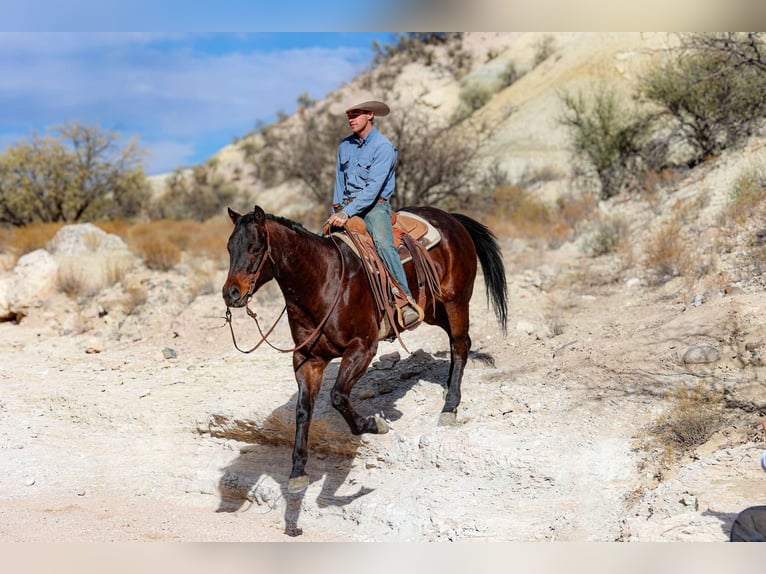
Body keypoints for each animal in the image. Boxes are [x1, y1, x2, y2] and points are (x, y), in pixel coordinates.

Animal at [222, 204, 508, 493]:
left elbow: (338, 396)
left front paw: (374, 425)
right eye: (229, 247)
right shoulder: (308, 359)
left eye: (256, 248)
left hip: (455, 301)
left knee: (459, 345)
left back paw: (450, 406)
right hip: (431, 309)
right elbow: (303, 410)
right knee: (460, 341)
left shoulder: (362, 348)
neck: (323, 281)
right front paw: (297, 471)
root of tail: (451, 218)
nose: (231, 293)